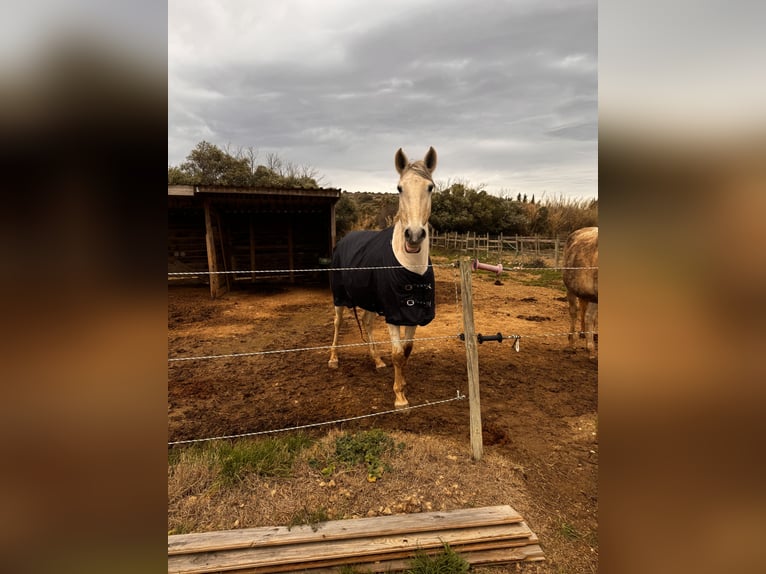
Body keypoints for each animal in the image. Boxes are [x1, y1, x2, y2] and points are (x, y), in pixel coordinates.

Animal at [328, 147, 438, 408]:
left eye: (430, 187)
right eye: (399, 188)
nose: (414, 236)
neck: (410, 269)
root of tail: (346, 238)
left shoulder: (412, 312)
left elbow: (407, 350)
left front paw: (403, 384)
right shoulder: (393, 313)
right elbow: (397, 353)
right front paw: (399, 397)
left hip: (368, 299)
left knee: (366, 323)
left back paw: (376, 360)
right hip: (339, 297)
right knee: (337, 323)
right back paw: (333, 359)